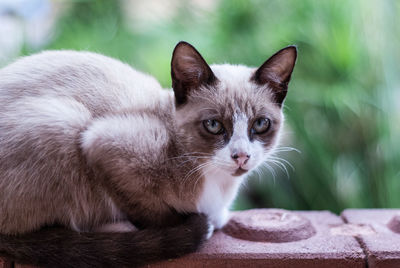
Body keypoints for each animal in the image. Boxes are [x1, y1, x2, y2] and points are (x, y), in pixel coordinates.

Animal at [0, 40, 296, 266]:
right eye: (213, 125)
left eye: (260, 124)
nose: (241, 156)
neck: (219, 185)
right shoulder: (103, 144)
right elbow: (153, 212)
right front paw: (192, 224)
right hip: (63, 121)